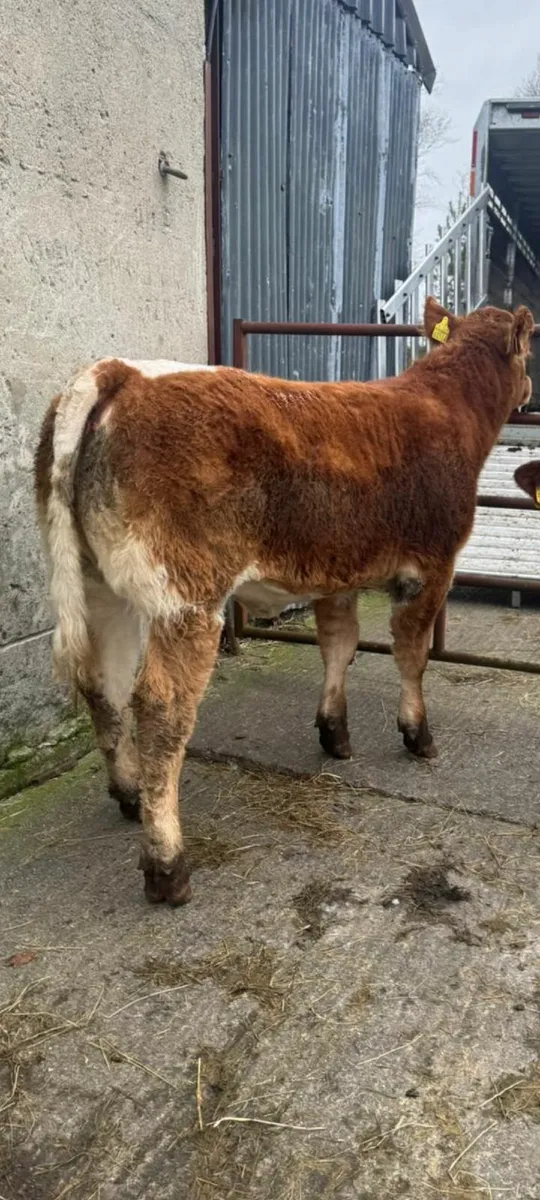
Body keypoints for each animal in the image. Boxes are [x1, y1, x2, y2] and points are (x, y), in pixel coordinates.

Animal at [34, 298, 533, 906]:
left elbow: (339, 645)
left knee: (102, 683)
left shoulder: (338, 571)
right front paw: (418, 735)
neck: (445, 407)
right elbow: (412, 655)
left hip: (101, 586)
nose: (530, 389)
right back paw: (167, 866)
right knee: (160, 706)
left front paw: (334, 733)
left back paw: (129, 795)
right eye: (531, 345)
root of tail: (121, 372)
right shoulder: (432, 567)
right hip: (186, 596)